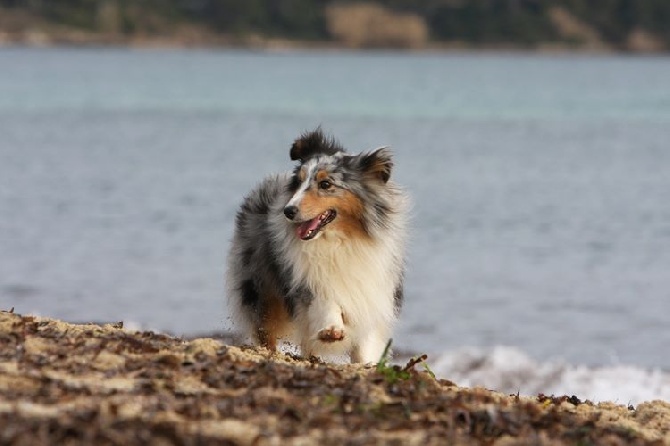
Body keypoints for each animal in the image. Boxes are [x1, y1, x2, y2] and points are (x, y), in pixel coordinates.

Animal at [227, 128, 410, 362]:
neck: (340, 241)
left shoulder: (373, 293)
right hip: (261, 289)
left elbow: (365, 343)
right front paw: (331, 330)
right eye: (299, 182)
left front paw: (366, 361)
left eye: (325, 184)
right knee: (267, 330)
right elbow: (325, 301)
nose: (288, 211)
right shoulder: (309, 279)